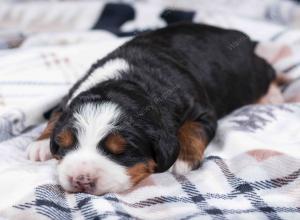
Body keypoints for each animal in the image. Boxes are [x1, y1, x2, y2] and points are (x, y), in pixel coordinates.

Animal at [27, 23, 278, 195]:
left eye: (121, 152)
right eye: (65, 144)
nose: (81, 180)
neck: (128, 80)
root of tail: (238, 36)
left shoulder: (201, 111)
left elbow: (192, 129)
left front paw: (183, 160)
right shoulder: (70, 96)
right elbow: (56, 114)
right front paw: (41, 144)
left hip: (251, 76)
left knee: (270, 71)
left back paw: (273, 94)